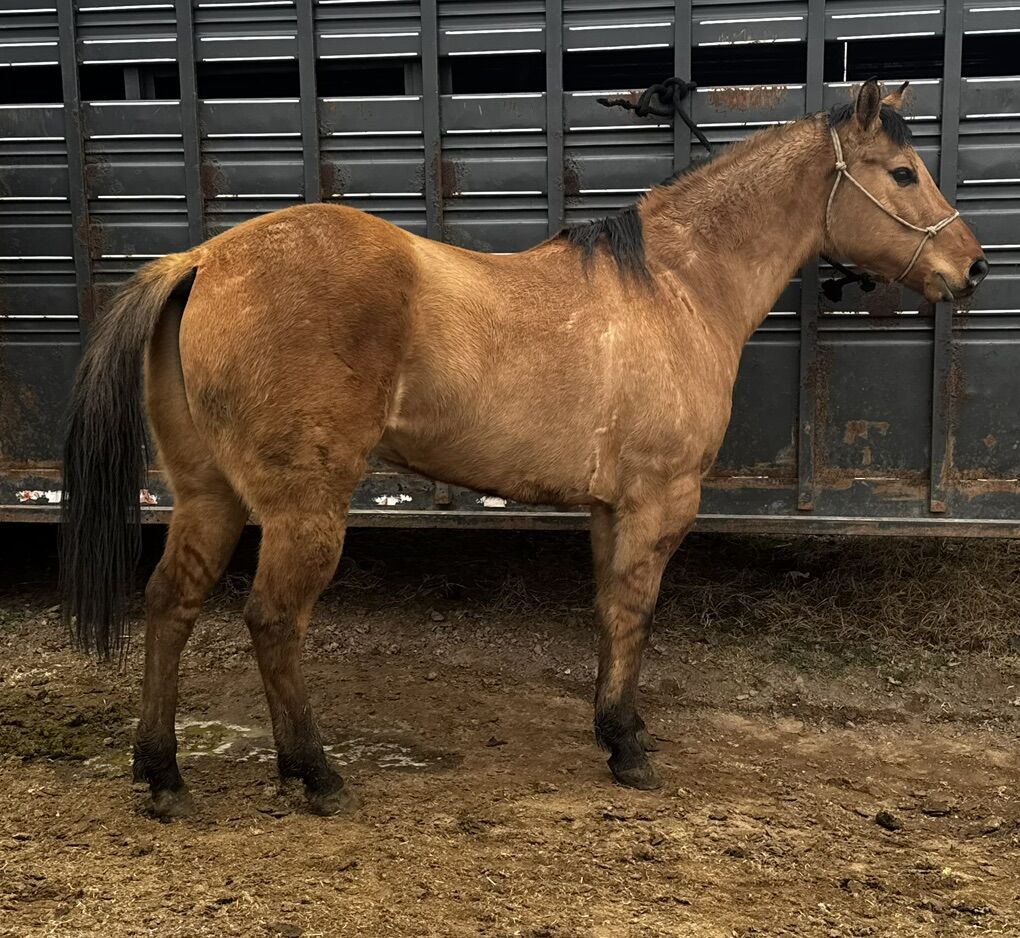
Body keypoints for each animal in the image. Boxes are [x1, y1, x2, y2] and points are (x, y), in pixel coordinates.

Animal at [61, 79, 987, 818]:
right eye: (902, 173)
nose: (972, 266)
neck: (676, 286)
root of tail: (202, 259)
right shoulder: (660, 501)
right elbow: (636, 612)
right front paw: (629, 751)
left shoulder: (612, 508)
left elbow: (612, 616)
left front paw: (617, 728)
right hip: (303, 509)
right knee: (273, 620)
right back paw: (314, 775)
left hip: (208, 494)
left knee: (169, 605)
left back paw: (164, 777)